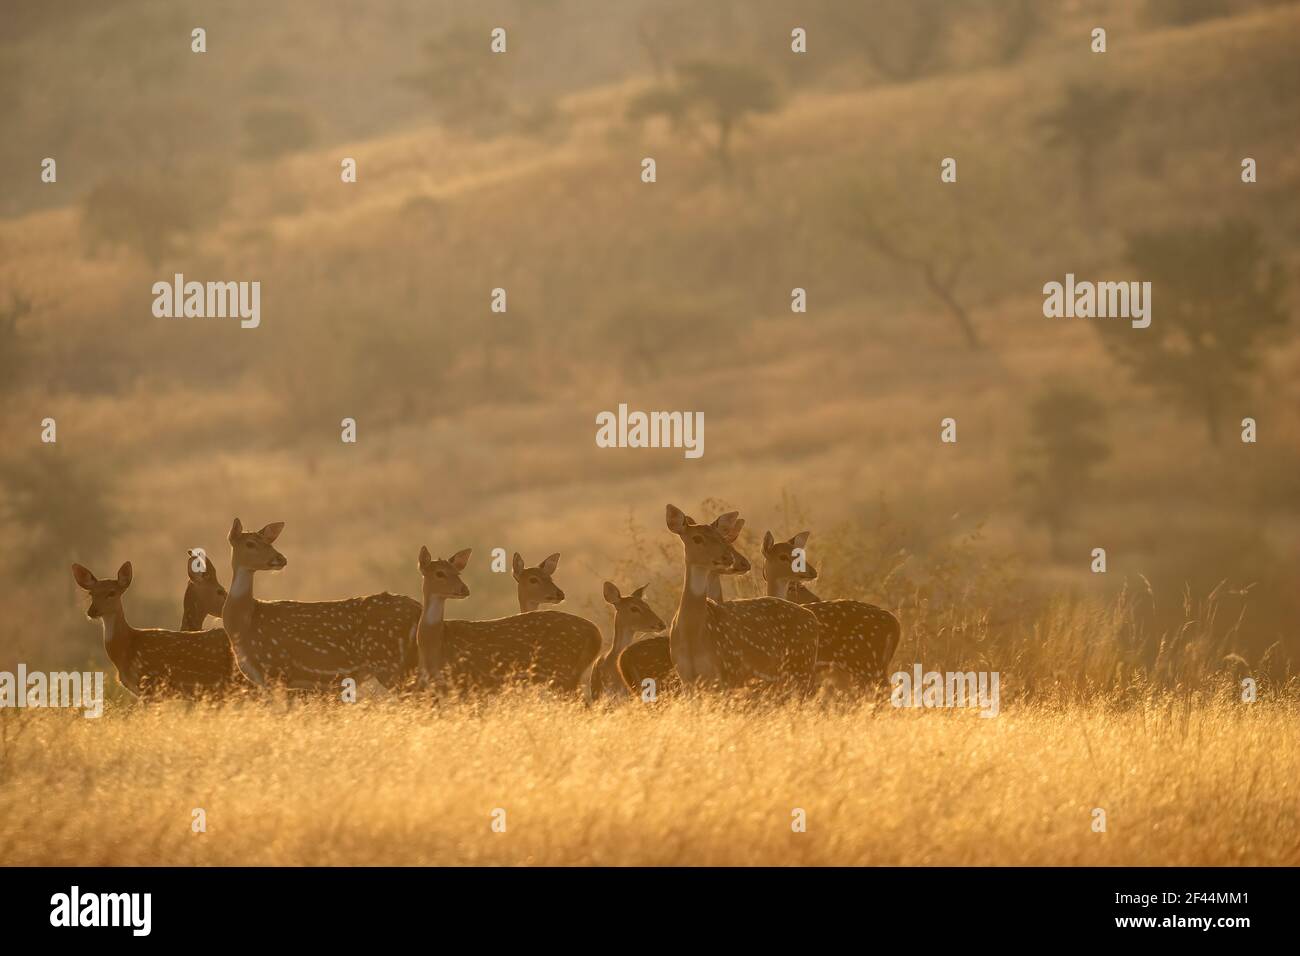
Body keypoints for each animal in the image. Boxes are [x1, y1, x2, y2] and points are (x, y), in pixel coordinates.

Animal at [220, 520, 418, 691]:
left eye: (269, 542)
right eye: (250, 544)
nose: (281, 558)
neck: (243, 625)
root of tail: (418, 608)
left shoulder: (276, 668)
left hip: (389, 662)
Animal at [413, 546, 600, 697]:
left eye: (457, 573)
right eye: (439, 573)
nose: (464, 589)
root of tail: (597, 634)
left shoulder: (468, 680)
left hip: (561, 672)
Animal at [665, 504, 816, 691]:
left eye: (720, 538)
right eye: (697, 538)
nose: (726, 557)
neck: (692, 634)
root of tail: (812, 617)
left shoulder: (725, 672)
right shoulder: (685, 677)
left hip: (802, 665)